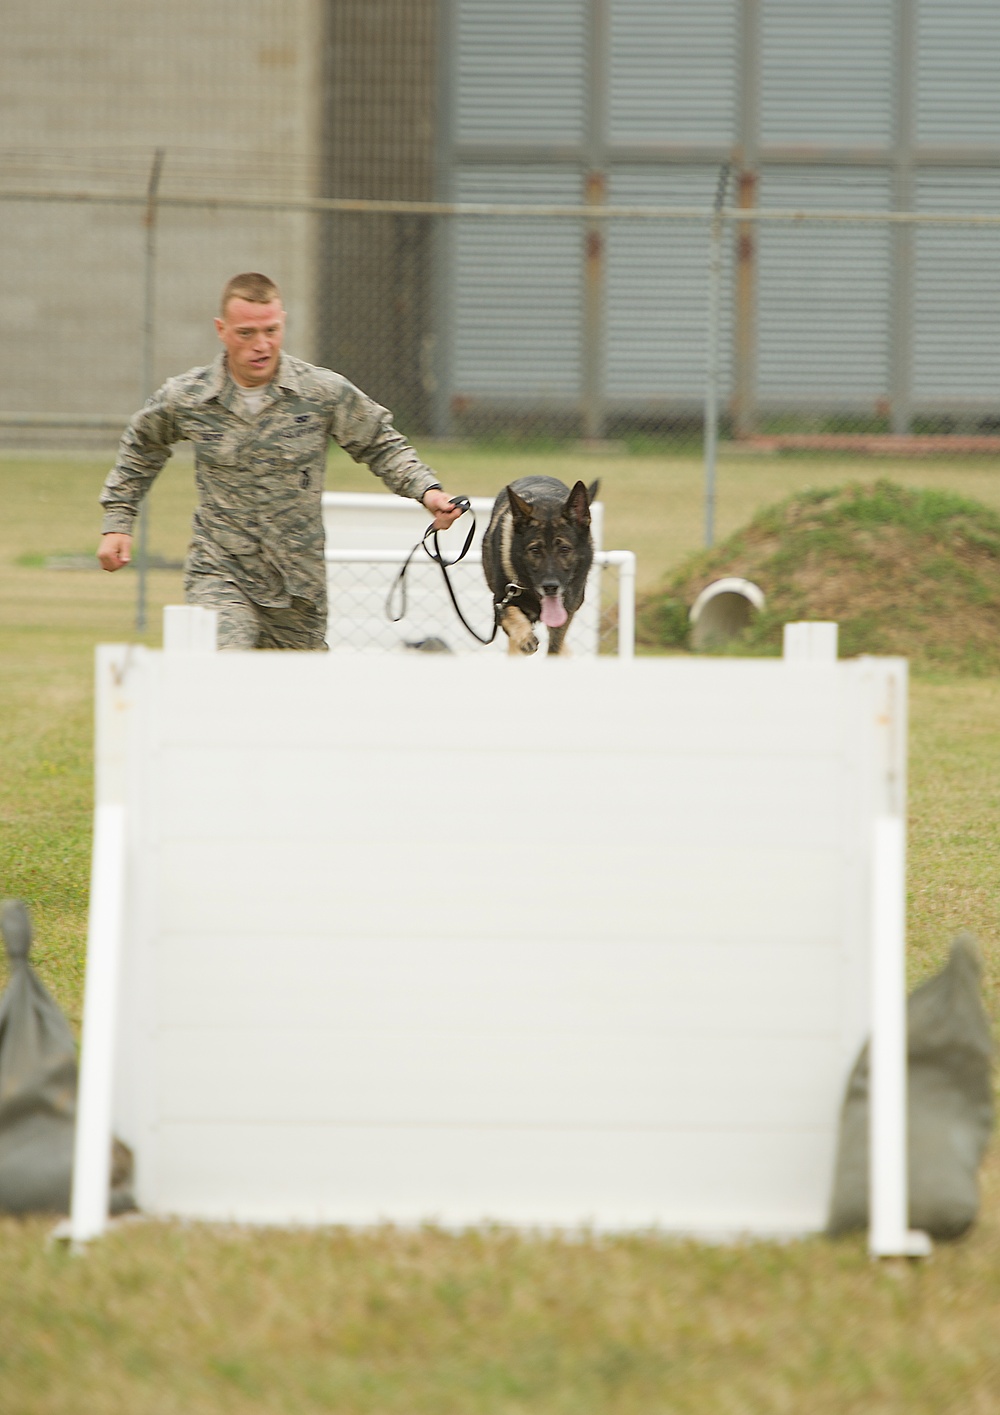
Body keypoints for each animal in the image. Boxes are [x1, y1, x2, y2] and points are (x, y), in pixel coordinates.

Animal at [480, 472, 599, 653]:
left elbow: (555, 647)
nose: (550, 587)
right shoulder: (499, 602)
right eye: (535, 550)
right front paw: (525, 636)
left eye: (564, 549)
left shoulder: (565, 615)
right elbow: (510, 613)